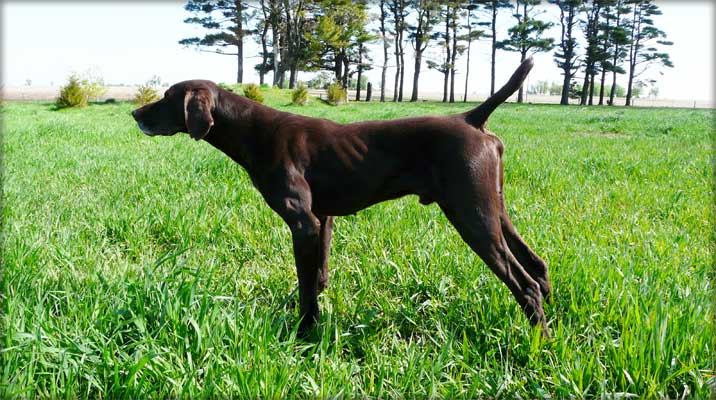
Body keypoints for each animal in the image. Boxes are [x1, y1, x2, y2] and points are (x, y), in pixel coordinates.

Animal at [131, 57, 552, 338]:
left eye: (167, 97)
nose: (135, 113)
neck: (254, 131)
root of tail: (470, 118)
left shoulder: (303, 223)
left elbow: (306, 284)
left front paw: (304, 333)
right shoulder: (324, 220)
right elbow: (317, 276)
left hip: (471, 215)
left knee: (526, 284)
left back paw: (537, 344)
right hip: (492, 208)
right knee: (538, 268)